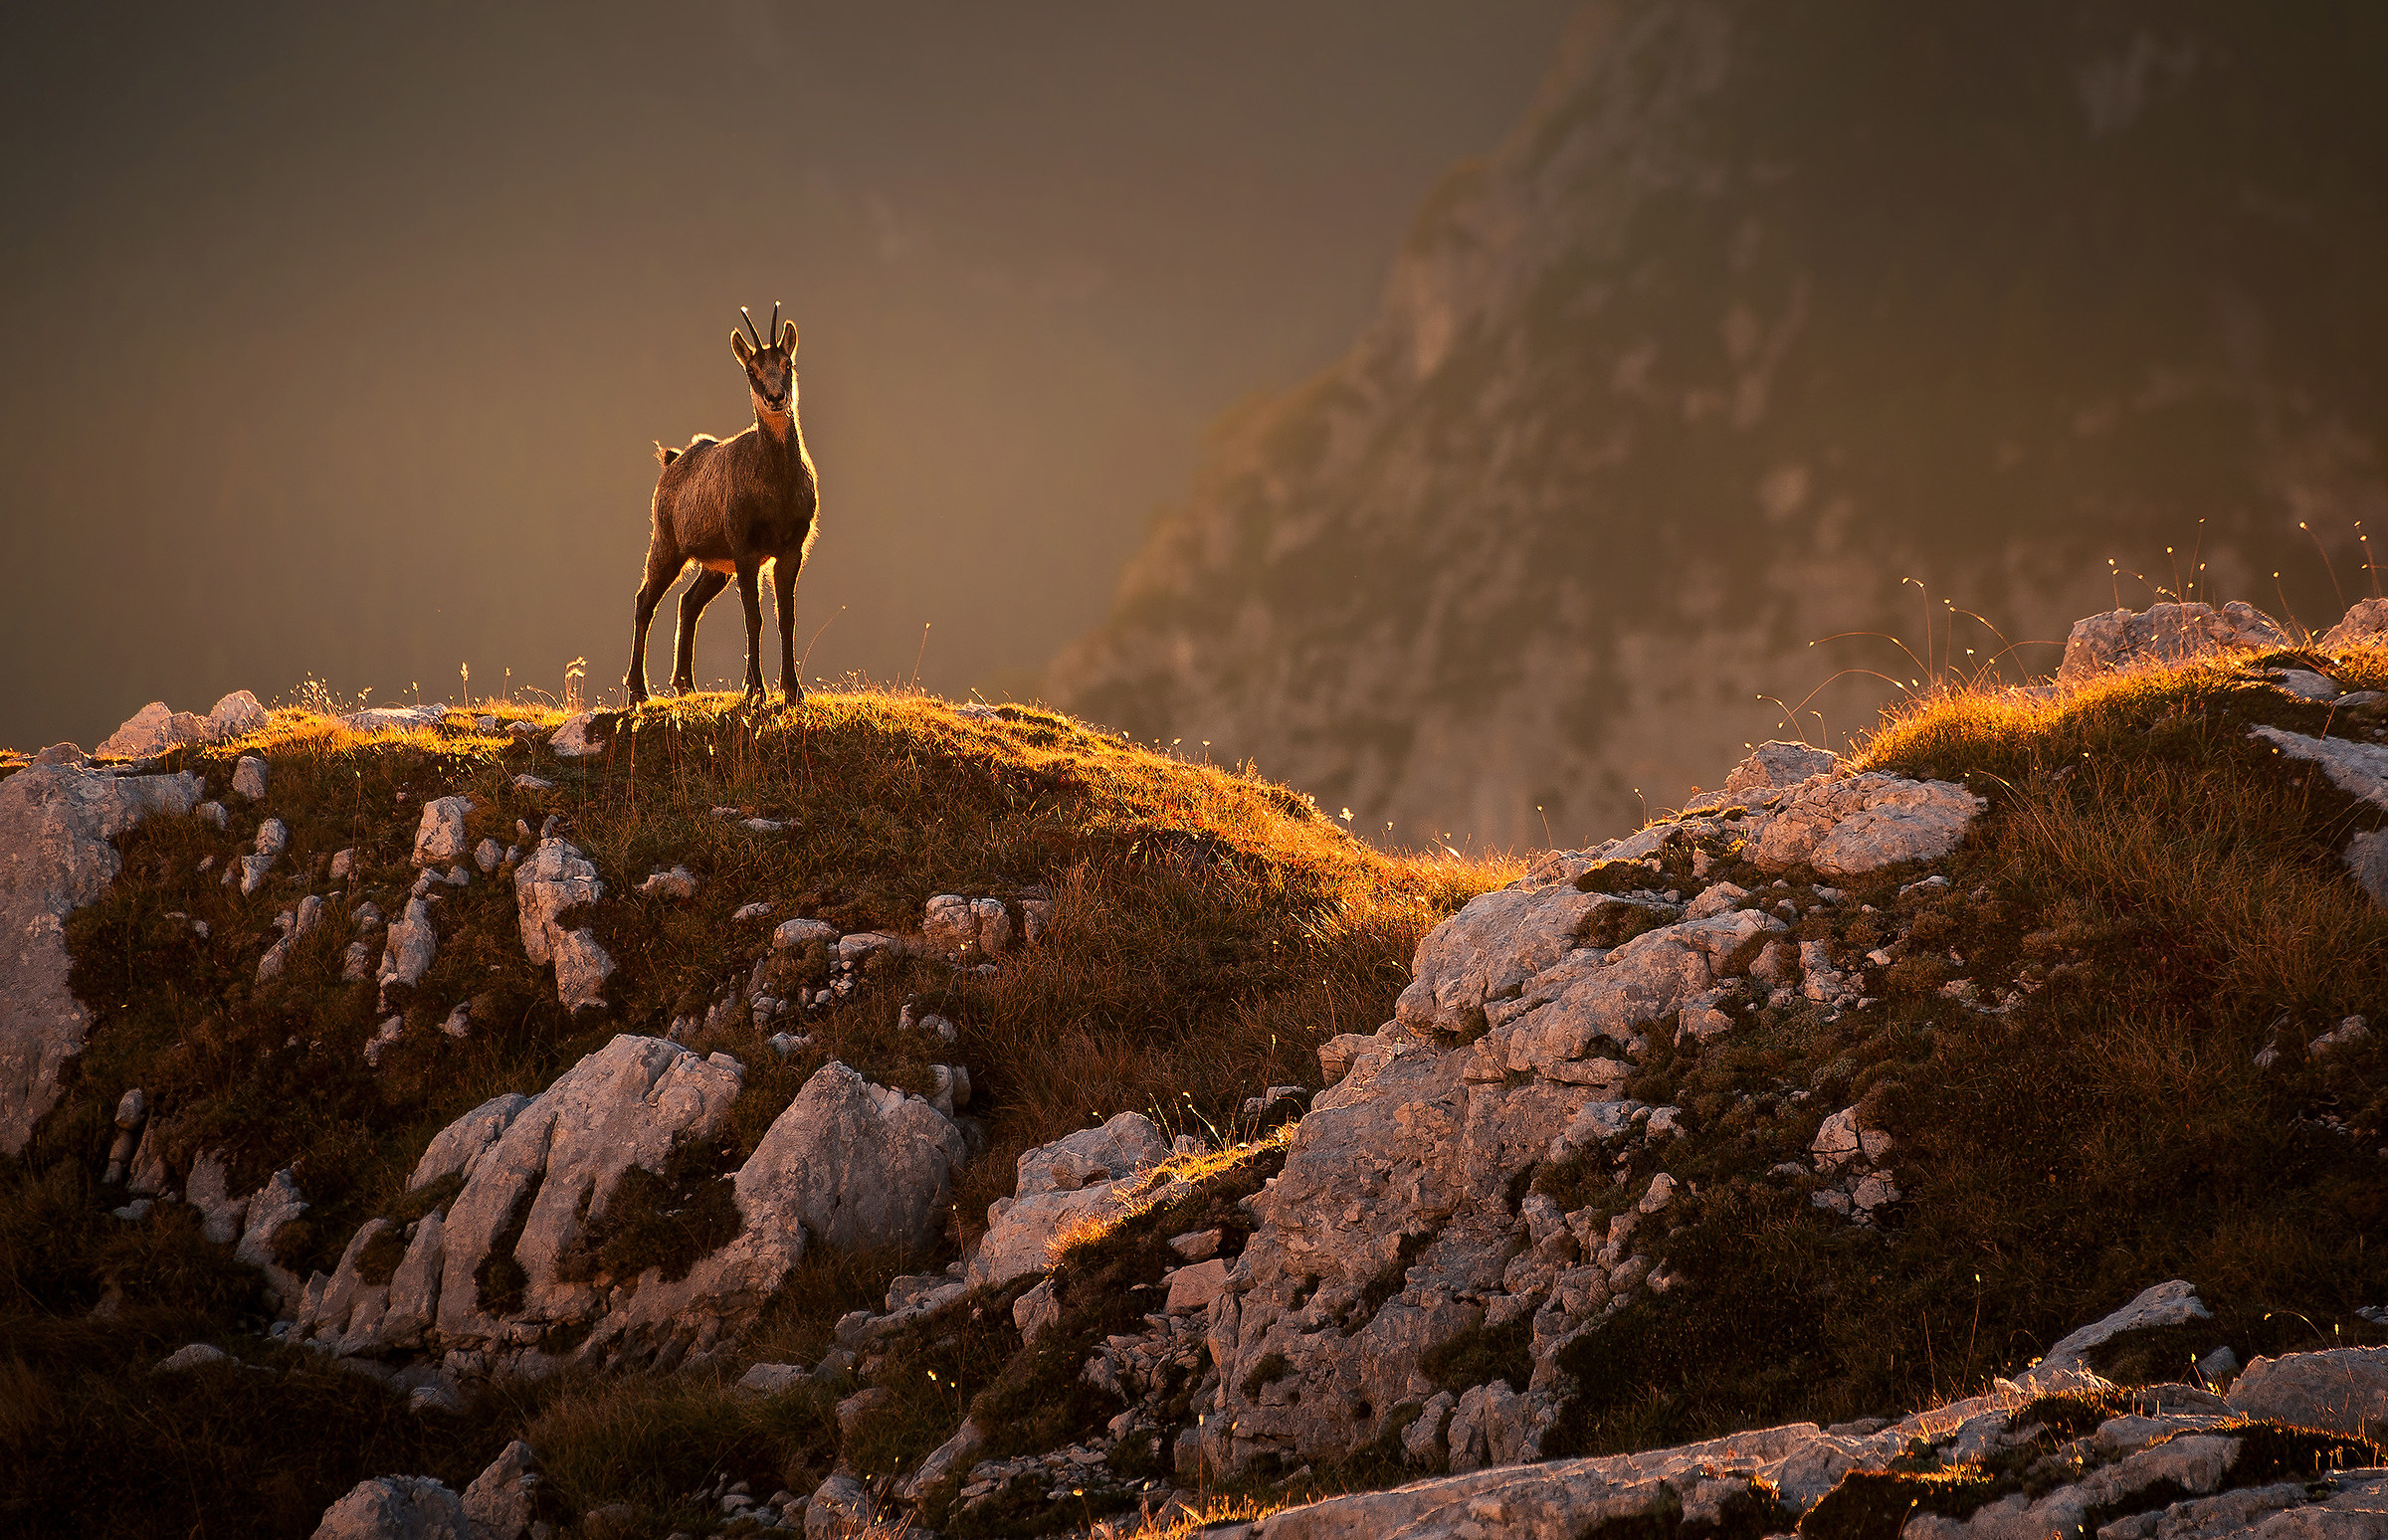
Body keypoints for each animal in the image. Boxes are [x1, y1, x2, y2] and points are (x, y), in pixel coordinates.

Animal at [627, 304, 820, 705]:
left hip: (716, 563)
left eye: (788, 363)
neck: (775, 488)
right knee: (644, 600)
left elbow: (787, 616)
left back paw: (685, 684)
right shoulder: (745, 546)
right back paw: (638, 689)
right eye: (751, 370)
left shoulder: (792, 547)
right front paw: (756, 689)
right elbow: (753, 616)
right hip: (668, 543)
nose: (776, 397)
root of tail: (672, 460)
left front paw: (792, 690)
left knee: (688, 602)